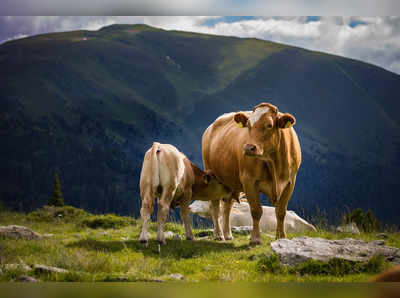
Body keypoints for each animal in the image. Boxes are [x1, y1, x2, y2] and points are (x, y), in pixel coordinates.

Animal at [203, 102, 300, 244]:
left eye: (269, 125)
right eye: (248, 125)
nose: (249, 148)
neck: (273, 164)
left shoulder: (290, 182)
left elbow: (281, 212)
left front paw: (281, 237)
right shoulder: (248, 180)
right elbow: (256, 211)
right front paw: (255, 238)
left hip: (231, 182)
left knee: (227, 206)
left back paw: (228, 234)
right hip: (212, 175)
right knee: (215, 207)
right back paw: (219, 235)